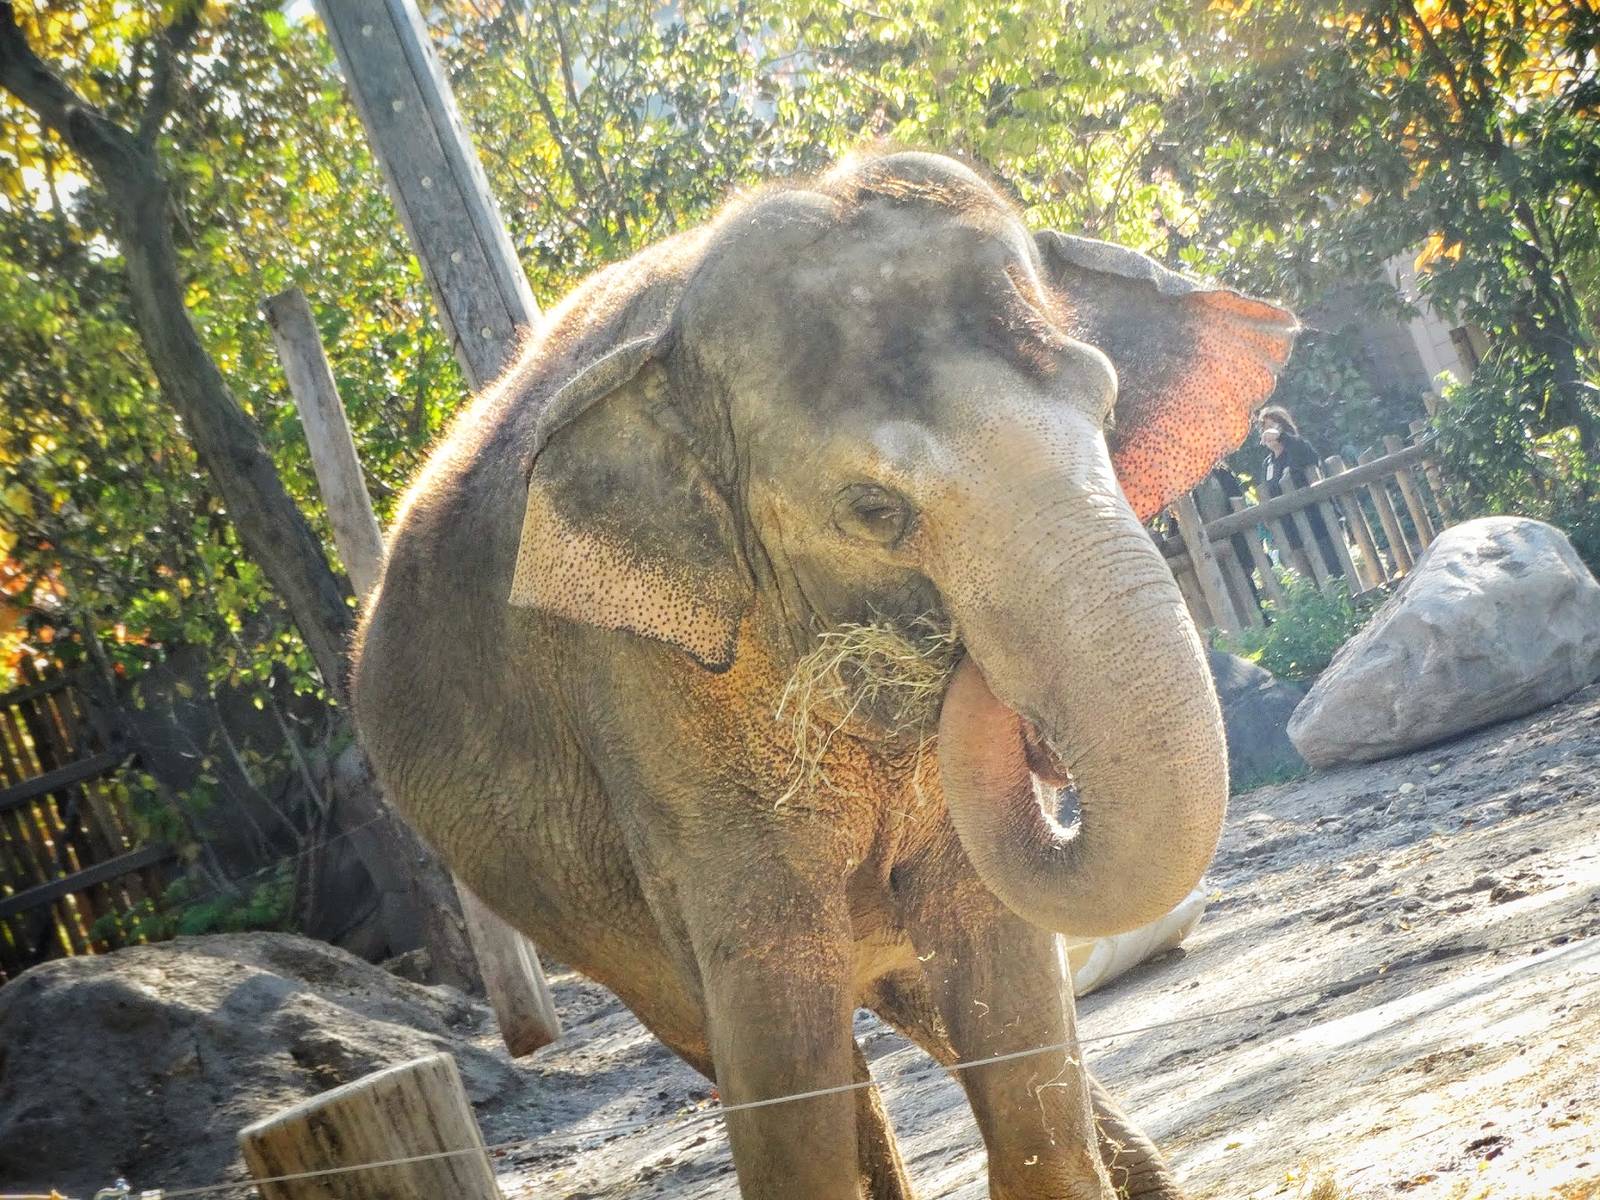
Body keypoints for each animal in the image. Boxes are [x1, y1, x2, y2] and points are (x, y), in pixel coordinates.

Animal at [352, 150, 1297, 1200]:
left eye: (1106, 407)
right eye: (875, 511)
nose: (972, 663)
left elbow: (1004, 974)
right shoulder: (648, 700)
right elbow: (777, 1019)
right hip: (587, 929)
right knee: (766, 1038)